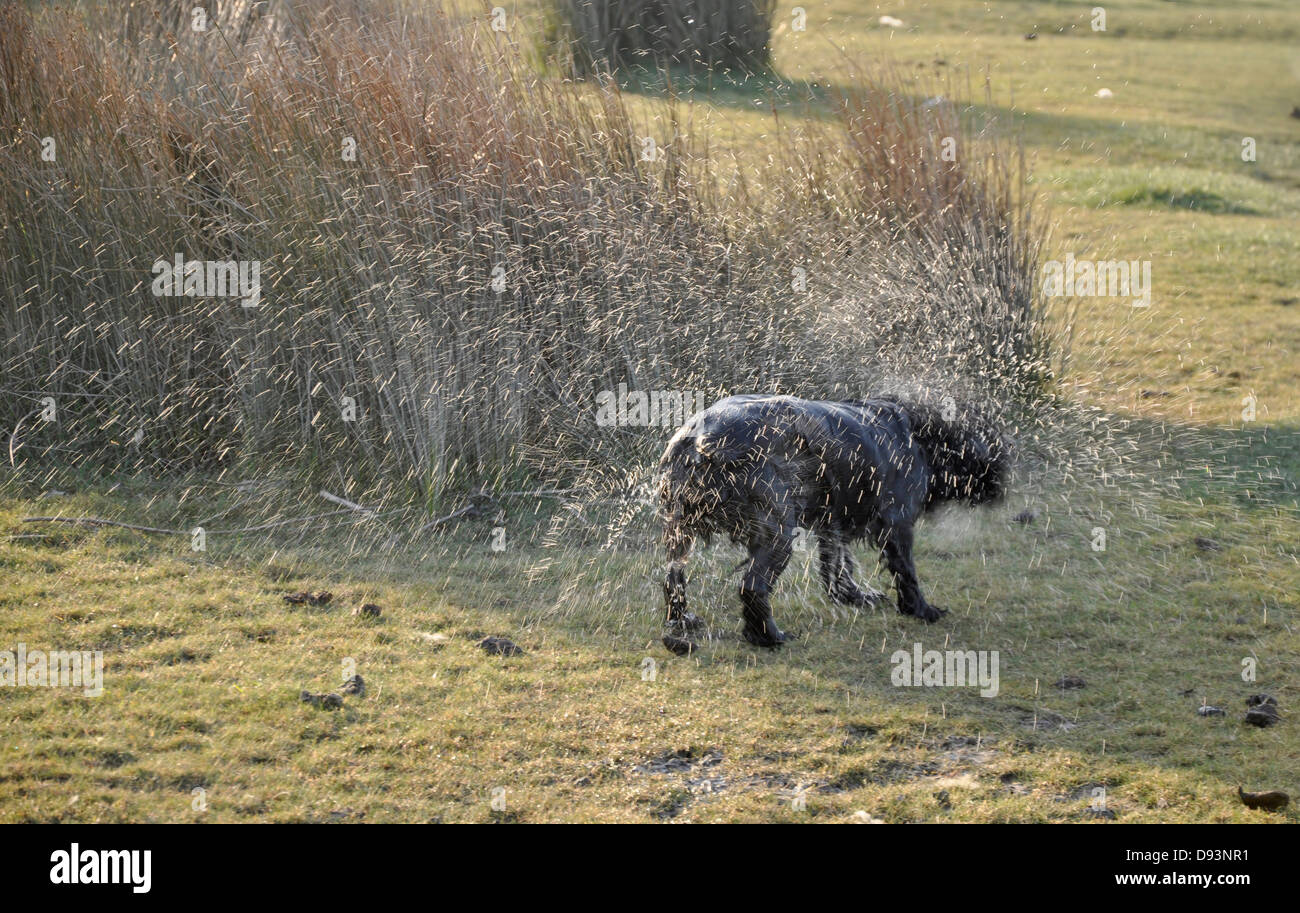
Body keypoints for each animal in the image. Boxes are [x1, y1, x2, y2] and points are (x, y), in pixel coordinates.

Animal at [660, 397, 1003, 647]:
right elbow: (906, 572)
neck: (916, 435)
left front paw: (855, 597)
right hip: (778, 533)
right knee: (753, 587)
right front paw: (921, 610)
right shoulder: (897, 523)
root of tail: (701, 441)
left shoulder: (831, 523)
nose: (1000, 488)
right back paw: (769, 637)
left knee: (673, 579)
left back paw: (684, 620)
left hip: (680, 531)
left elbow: (837, 567)